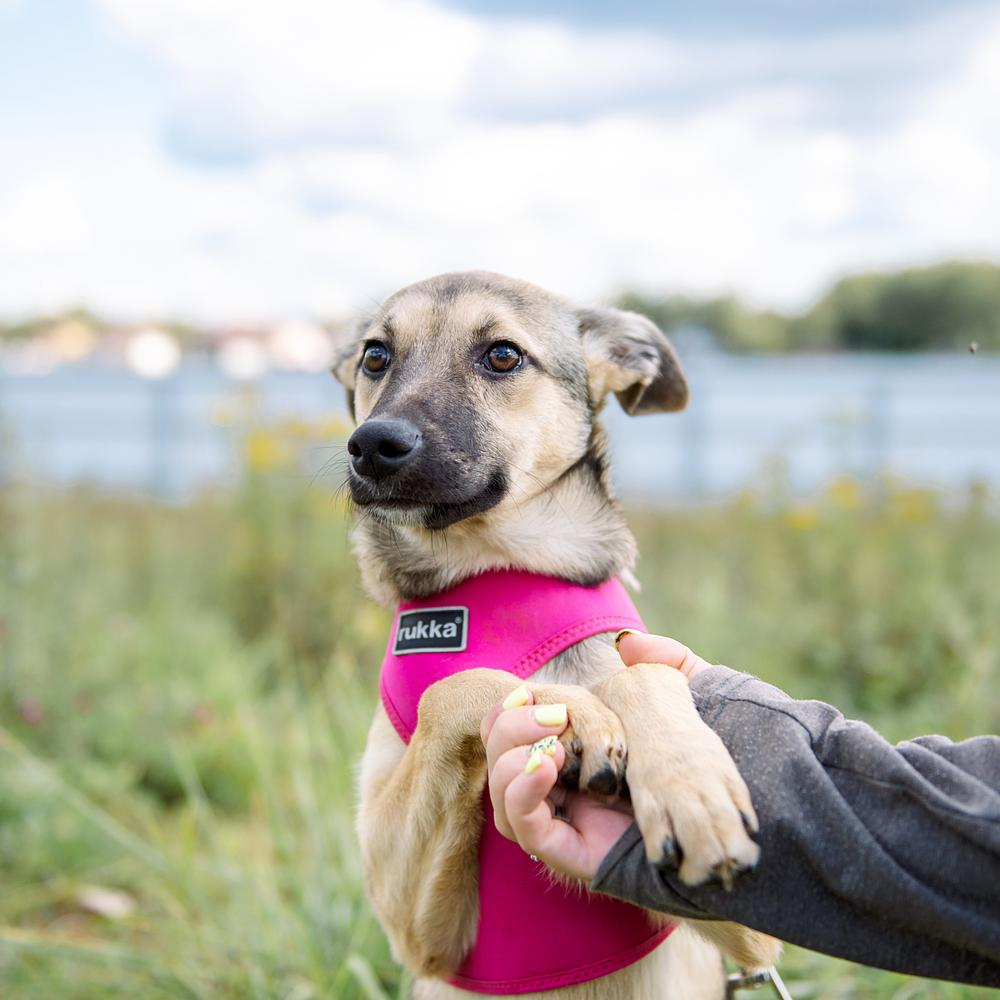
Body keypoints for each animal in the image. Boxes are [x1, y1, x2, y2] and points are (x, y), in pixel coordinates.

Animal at [336, 274, 780, 1000]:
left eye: (503, 355)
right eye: (376, 356)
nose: (373, 445)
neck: (497, 569)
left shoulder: (753, 939)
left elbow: (641, 670)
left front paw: (692, 790)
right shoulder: (416, 931)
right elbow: (456, 685)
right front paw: (570, 715)